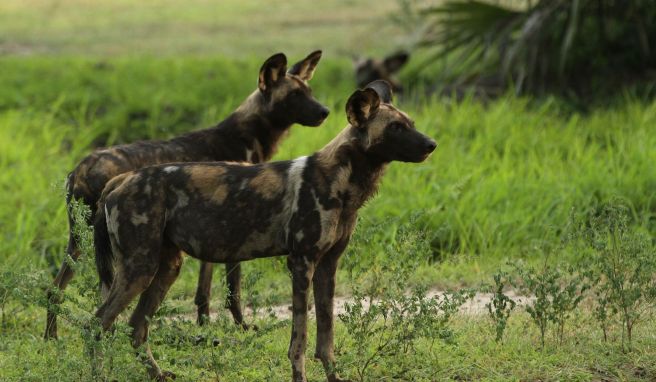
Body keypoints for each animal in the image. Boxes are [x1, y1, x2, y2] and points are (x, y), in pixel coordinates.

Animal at [44, 49, 330, 338]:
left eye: (309, 91)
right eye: (294, 95)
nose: (325, 112)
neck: (246, 135)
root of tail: (81, 168)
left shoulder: (214, 233)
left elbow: (204, 291)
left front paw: (204, 324)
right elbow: (233, 289)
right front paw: (241, 326)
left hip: (80, 242)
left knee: (54, 289)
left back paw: (51, 339)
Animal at [88, 80, 436, 382]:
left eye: (412, 122)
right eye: (395, 128)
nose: (432, 144)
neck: (342, 181)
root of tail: (121, 179)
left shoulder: (327, 266)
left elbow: (326, 338)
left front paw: (334, 377)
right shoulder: (301, 264)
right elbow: (300, 340)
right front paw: (300, 377)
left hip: (165, 267)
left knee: (135, 328)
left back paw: (158, 375)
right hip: (139, 268)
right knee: (97, 324)